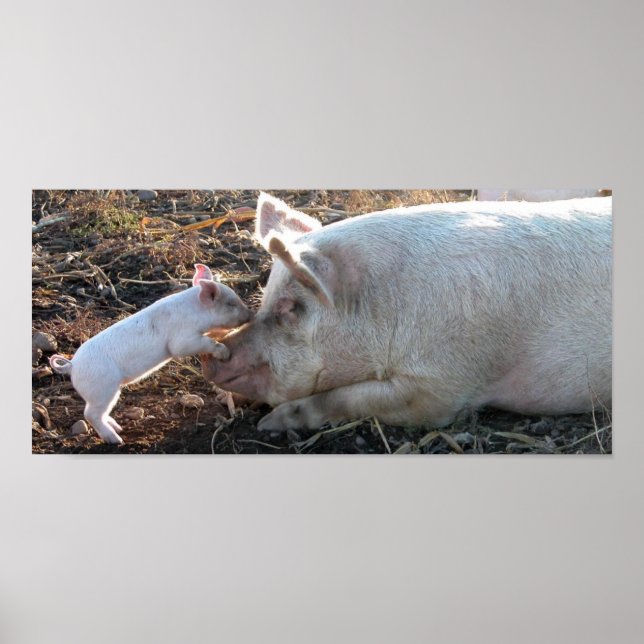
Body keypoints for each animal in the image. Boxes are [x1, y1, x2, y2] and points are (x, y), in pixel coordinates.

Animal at [49, 264, 250, 444]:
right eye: (231, 303)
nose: (250, 315)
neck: (196, 309)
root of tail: (72, 366)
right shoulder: (182, 339)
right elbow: (190, 346)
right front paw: (225, 352)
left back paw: (118, 428)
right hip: (102, 389)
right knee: (90, 414)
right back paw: (116, 440)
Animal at [203, 193, 612, 433]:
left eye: (291, 308)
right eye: (266, 298)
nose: (212, 356)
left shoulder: (445, 384)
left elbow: (345, 399)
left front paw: (270, 423)